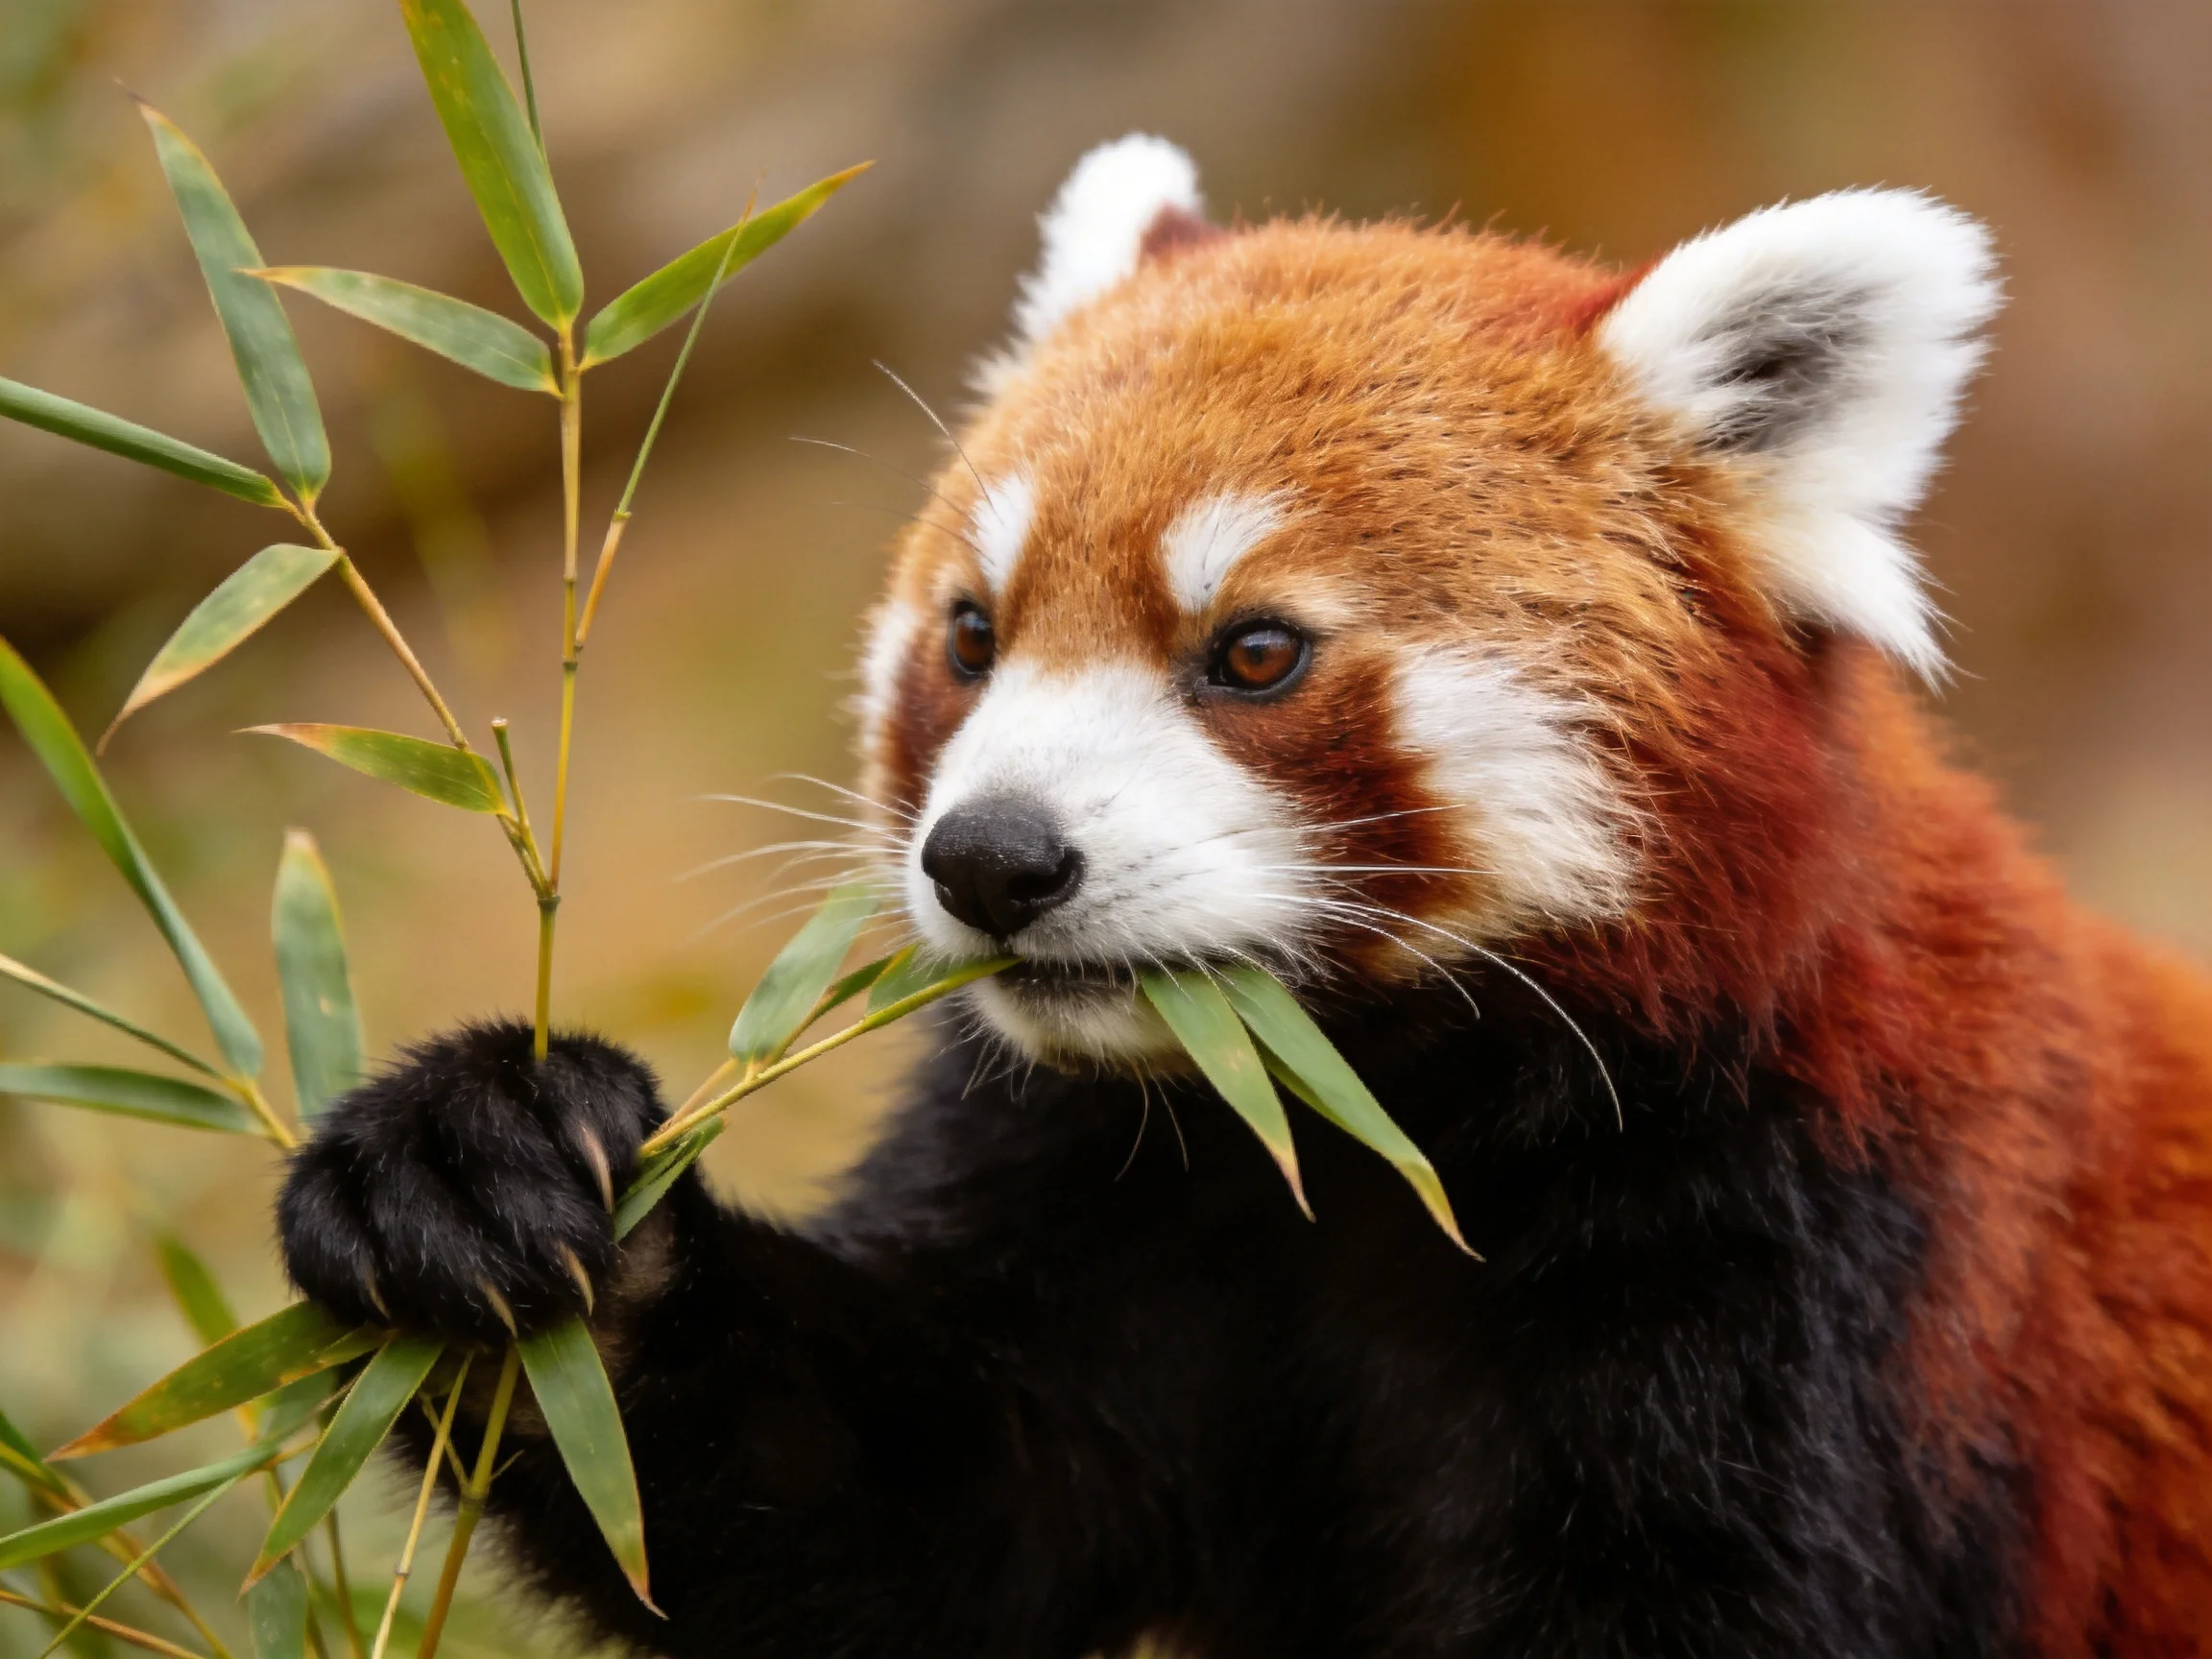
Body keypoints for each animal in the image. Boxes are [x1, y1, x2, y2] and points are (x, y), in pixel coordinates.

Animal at [277, 136, 2212, 1657]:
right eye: (971, 633)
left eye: (1255, 653)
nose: (988, 859)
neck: (1362, 1139)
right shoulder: (1098, 1188)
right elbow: (885, 1522)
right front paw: (483, 1165)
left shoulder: (1822, 1274)